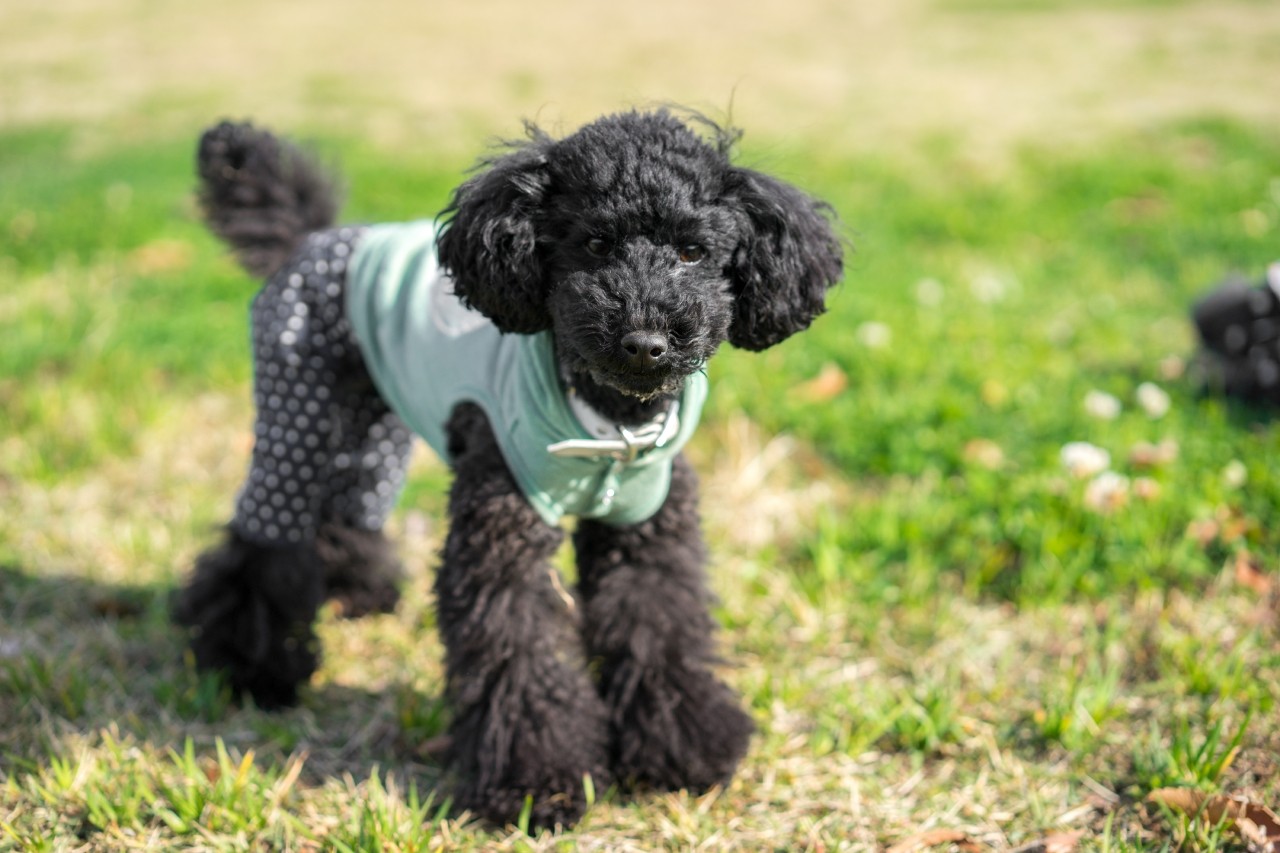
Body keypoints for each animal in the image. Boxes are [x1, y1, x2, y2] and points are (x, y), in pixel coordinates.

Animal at [173, 109, 844, 829]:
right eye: (595, 243)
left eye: (693, 252)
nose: (646, 342)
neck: (608, 419)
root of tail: (316, 237)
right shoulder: (502, 530)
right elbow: (516, 648)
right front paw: (537, 785)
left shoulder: (647, 531)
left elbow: (657, 626)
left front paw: (679, 753)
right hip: (295, 399)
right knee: (263, 545)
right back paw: (250, 670)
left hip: (368, 418)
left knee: (347, 509)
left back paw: (358, 594)